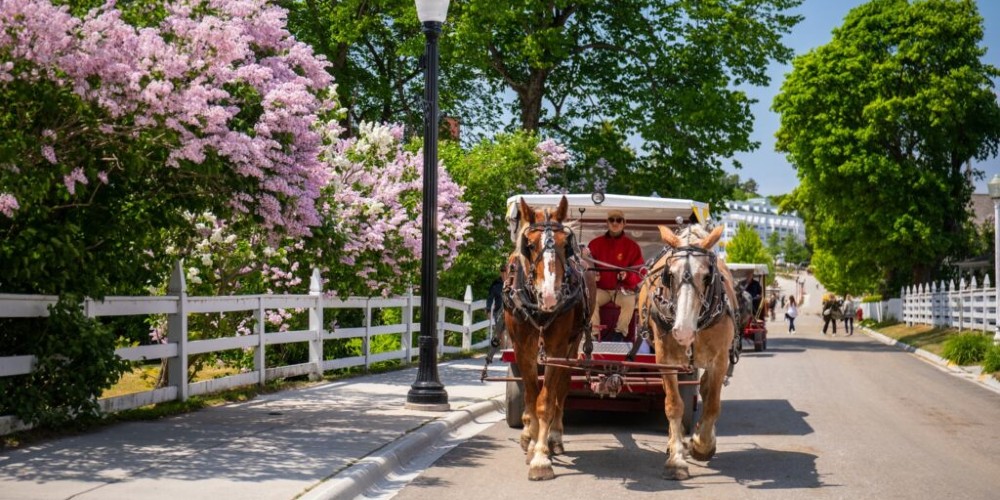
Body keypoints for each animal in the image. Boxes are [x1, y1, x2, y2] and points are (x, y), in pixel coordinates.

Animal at [500, 195, 592, 480]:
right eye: (529, 245)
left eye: (565, 245)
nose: (550, 296)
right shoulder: (522, 349)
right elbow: (531, 396)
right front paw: (531, 442)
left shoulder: (556, 349)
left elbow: (546, 400)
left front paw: (541, 457)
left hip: (573, 344)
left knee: (562, 387)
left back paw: (554, 437)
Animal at [636, 224, 740, 480]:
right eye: (670, 275)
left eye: (706, 276)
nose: (683, 331)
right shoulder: (664, 359)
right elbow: (673, 405)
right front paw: (676, 460)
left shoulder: (720, 360)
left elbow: (712, 405)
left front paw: (701, 444)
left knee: (706, 389)